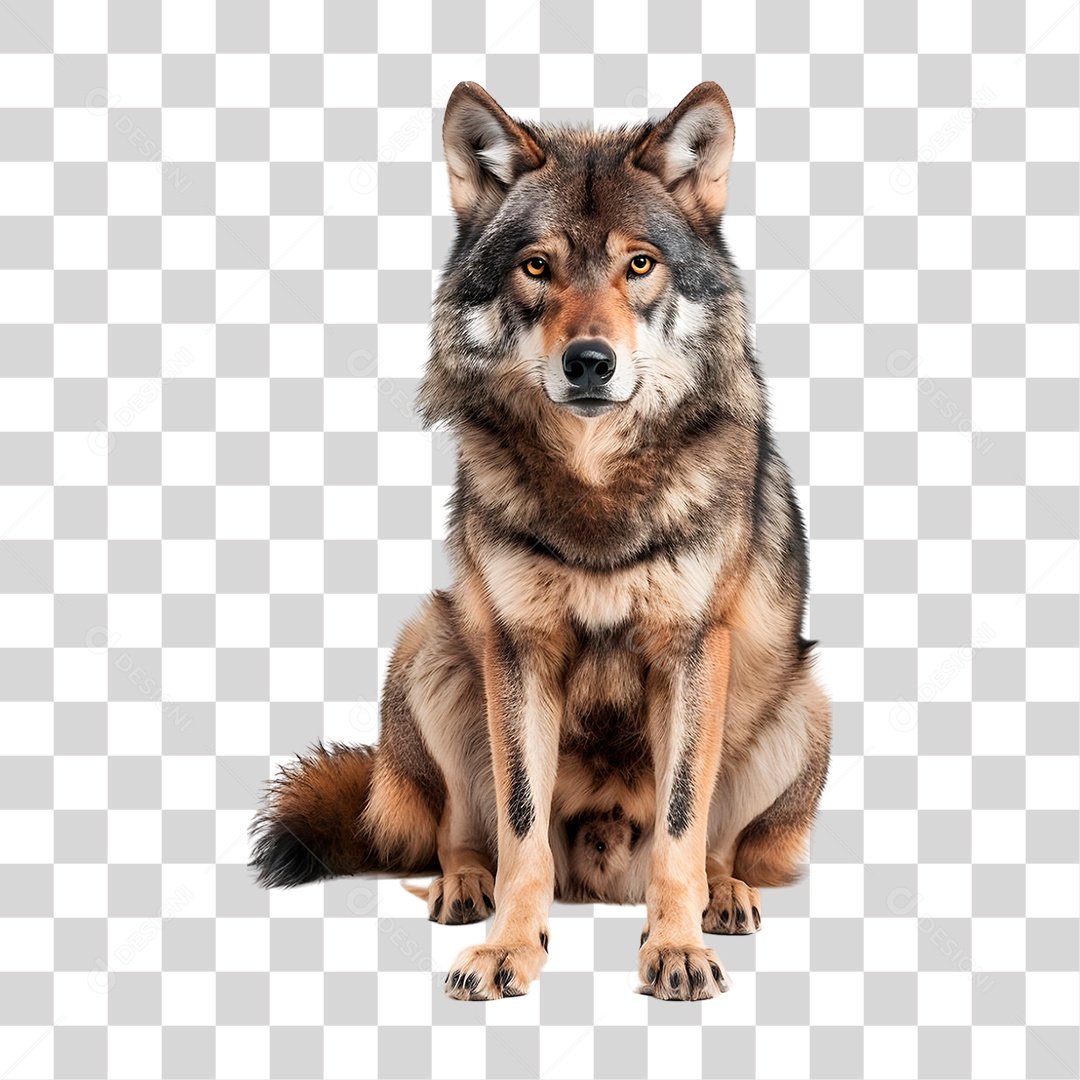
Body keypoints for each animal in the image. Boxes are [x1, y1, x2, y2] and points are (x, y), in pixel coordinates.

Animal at [251, 81, 831, 1001]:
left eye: (640, 265)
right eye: (537, 267)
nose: (589, 362)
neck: (595, 490)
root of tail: (601, 879)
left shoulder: (691, 648)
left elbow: (681, 824)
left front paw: (677, 947)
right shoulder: (520, 647)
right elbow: (521, 825)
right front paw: (509, 948)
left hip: (802, 700)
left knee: (722, 844)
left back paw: (724, 896)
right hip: (433, 645)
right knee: (460, 831)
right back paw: (464, 887)